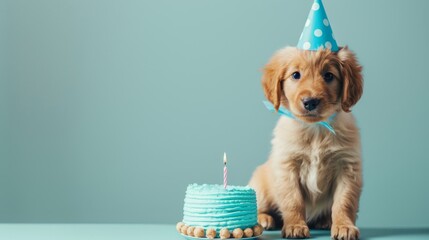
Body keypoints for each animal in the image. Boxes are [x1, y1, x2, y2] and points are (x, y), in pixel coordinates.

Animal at [249, 46, 362, 240]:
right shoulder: (287, 166)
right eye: (296, 75)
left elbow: (344, 201)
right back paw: (265, 219)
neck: (316, 129)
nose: (310, 102)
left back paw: (325, 220)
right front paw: (295, 226)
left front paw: (344, 226)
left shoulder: (347, 167)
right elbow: (293, 200)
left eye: (329, 76)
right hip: (261, 188)